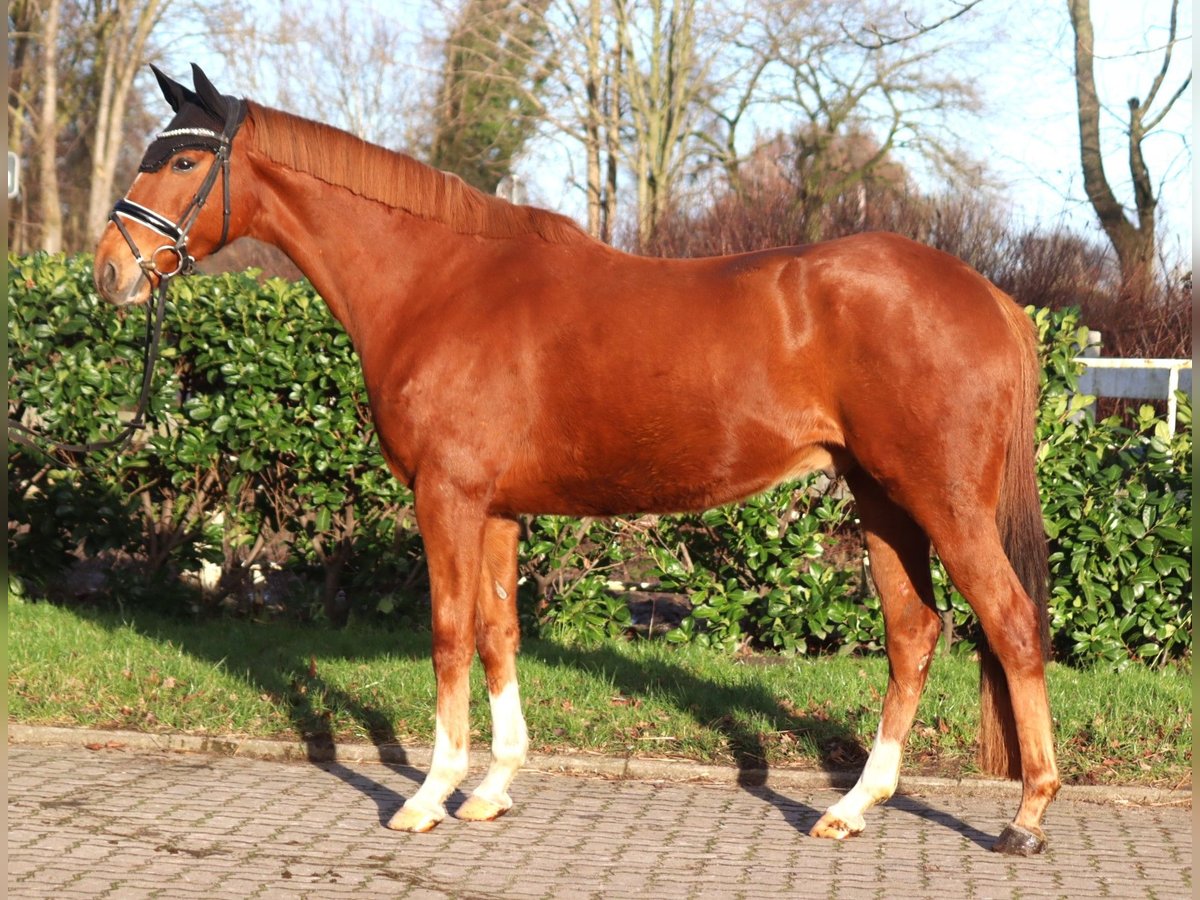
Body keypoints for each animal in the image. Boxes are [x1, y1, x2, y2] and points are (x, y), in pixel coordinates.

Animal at [93, 66, 1056, 854]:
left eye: (184, 161)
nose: (110, 271)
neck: (438, 283)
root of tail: (992, 297)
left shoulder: (446, 498)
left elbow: (449, 634)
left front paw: (429, 796)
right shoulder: (496, 510)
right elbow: (498, 634)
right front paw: (492, 790)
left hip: (939, 501)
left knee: (1010, 623)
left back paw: (1027, 816)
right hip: (882, 499)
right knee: (914, 631)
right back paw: (852, 808)